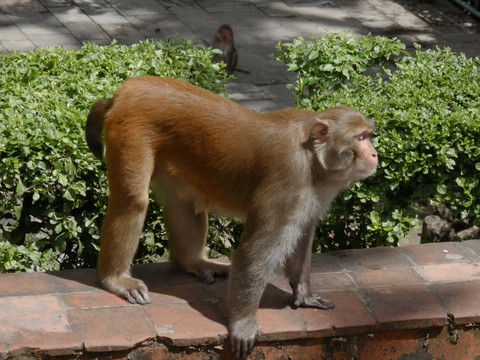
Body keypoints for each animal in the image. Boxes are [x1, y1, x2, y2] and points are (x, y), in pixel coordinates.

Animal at [85, 76, 378, 360]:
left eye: (367, 135)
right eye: (360, 137)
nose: (375, 154)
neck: (312, 156)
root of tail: (123, 92)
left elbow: (303, 236)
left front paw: (304, 295)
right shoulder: (289, 179)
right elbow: (255, 254)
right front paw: (243, 324)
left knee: (184, 201)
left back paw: (192, 262)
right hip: (130, 132)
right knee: (132, 202)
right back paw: (115, 278)